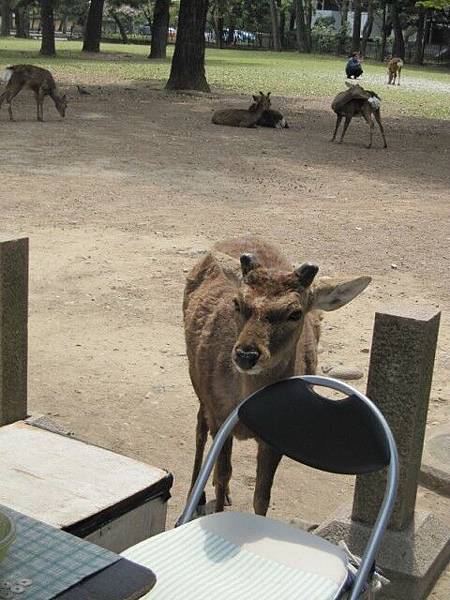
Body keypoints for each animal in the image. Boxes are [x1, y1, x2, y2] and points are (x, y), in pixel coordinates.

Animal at [183, 239, 370, 516]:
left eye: (295, 313)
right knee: (199, 427)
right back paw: (194, 496)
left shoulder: (276, 436)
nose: (246, 354)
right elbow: (224, 472)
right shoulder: (219, 415)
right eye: (237, 303)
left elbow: (262, 496)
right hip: (199, 386)